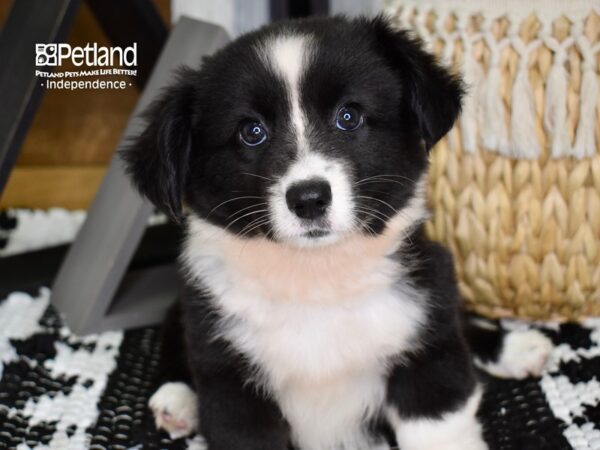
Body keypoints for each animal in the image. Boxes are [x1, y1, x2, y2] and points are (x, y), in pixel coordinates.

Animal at [122, 14, 552, 450]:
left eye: (349, 116)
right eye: (251, 131)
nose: (309, 199)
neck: (318, 278)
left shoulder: (427, 349)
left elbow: (439, 426)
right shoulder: (229, 378)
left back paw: (516, 347)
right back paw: (177, 399)